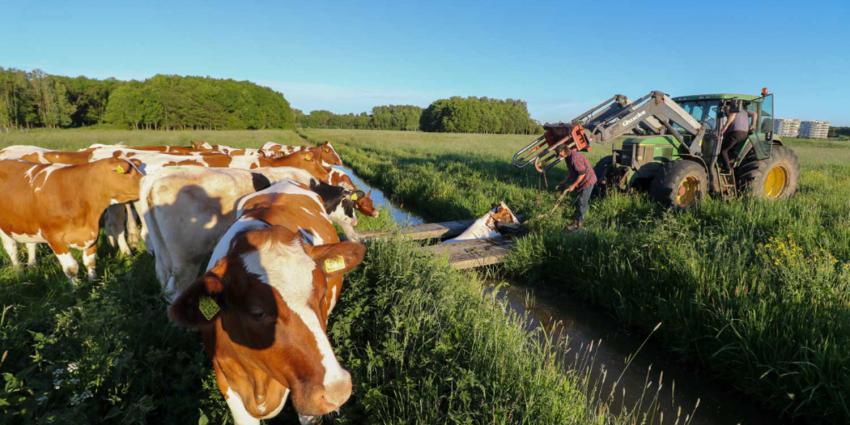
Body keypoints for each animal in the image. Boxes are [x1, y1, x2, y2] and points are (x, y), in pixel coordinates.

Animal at [0, 157, 144, 280]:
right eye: (128, 172)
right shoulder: (55, 238)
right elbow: (71, 268)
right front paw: (76, 289)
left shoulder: (92, 234)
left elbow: (90, 261)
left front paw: (93, 282)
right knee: (12, 249)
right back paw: (19, 273)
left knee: (31, 244)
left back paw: (32, 266)